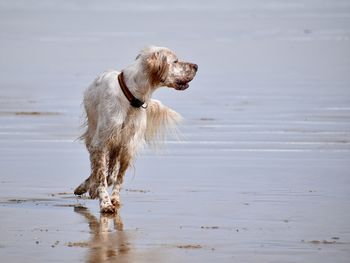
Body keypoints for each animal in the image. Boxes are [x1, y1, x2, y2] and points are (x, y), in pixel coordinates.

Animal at [74, 46, 197, 213]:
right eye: (175, 61)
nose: (196, 66)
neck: (131, 97)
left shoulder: (128, 146)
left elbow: (117, 178)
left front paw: (114, 199)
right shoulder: (101, 142)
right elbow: (100, 176)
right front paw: (105, 202)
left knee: (111, 173)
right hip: (94, 134)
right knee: (97, 169)